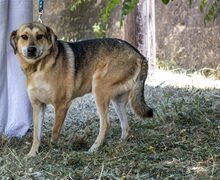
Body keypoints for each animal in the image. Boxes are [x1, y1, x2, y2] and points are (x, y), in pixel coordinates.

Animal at [9, 22, 153, 157]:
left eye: (40, 36)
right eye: (24, 36)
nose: (31, 49)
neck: (39, 67)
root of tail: (139, 55)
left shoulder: (61, 105)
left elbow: (54, 132)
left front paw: (53, 150)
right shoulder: (38, 106)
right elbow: (36, 135)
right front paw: (32, 154)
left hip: (99, 89)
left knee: (106, 124)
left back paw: (93, 149)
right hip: (117, 101)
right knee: (126, 127)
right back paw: (120, 145)